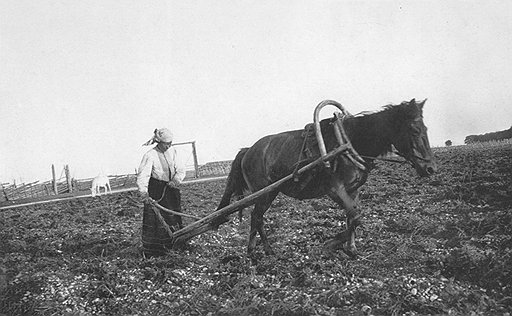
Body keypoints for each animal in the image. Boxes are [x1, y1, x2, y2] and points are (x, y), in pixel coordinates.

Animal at [216, 99, 436, 256]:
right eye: (414, 129)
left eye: (426, 129)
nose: (431, 168)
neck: (349, 143)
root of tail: (248, 150)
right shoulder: (334, 189)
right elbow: (355, 216)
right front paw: (331, 243)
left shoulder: (353, 190)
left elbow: (352, 216)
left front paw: (351, 249)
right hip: (264, 193)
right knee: (257, 217)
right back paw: (259, 251)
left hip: (270, 192)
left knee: (257, 217)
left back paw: (259, 250)